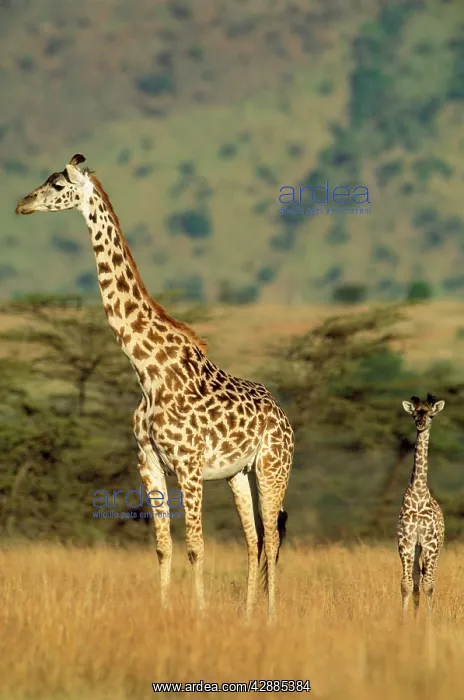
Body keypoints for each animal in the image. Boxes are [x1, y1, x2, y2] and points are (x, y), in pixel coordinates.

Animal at [15, 154, 294, 621]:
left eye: (56, 184)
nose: (22, 204)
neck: (148, 370)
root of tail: (283, 414)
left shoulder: (189, 465)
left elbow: (196, 545)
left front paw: (198, 614)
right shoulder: (149, 462)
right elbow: (163, 546)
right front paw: (165, 612)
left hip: (274, 466)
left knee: (272, 537)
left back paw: (271, 618)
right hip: (238, 473)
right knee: (254, 539)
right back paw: (248, 615)